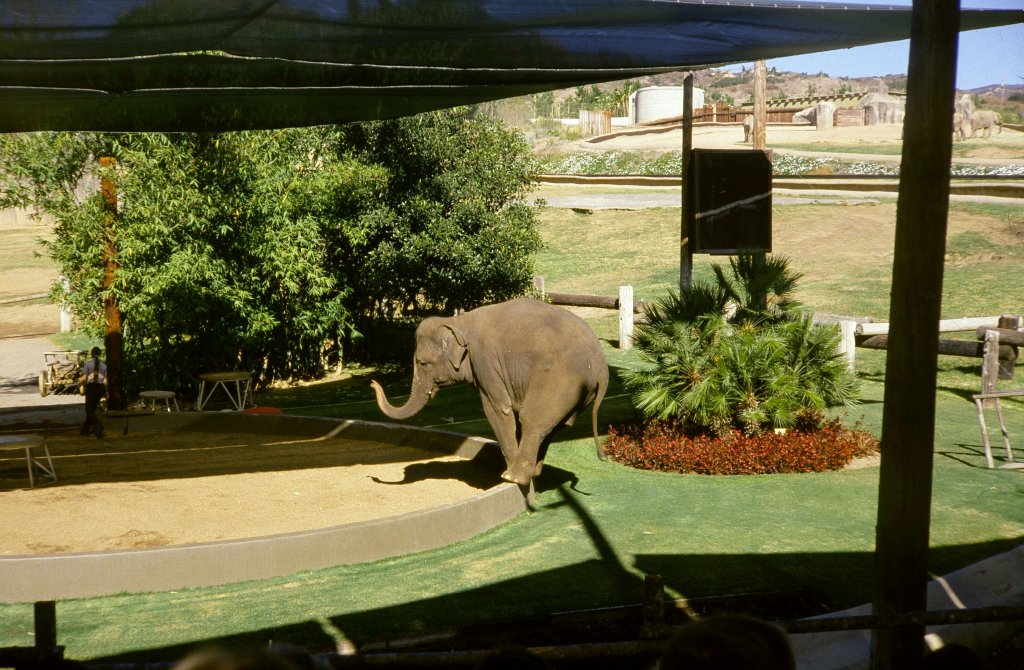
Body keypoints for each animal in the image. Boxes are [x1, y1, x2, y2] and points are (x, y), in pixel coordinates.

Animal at [370, 297, 609, 486]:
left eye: (422, 363)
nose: (373, 382)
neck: (459, 322)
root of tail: (602, 368)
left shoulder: (484, 361)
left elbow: (498, 409)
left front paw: (505, 472)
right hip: (578, 394)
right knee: (553, 425)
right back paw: (533, 472)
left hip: (560, 382)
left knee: (531, 419)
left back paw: (514, 477)